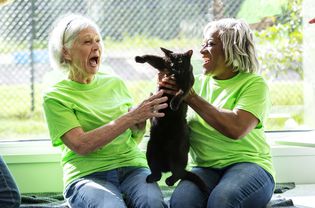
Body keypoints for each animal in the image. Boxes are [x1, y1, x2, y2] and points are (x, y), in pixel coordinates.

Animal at [136, 47, 210, 193]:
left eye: (180, 61)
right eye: (171, 62)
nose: (174, 67)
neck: (175, 75)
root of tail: (166, 167)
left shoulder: (187, 83)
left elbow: (180, 93)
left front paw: (173, 104)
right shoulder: (162, 65)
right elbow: (153, 58)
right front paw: (139, 58)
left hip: (178, 152)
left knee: (179, 173)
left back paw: (170, 181)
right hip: (151, 149)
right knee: (157, 172)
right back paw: (152, 177)